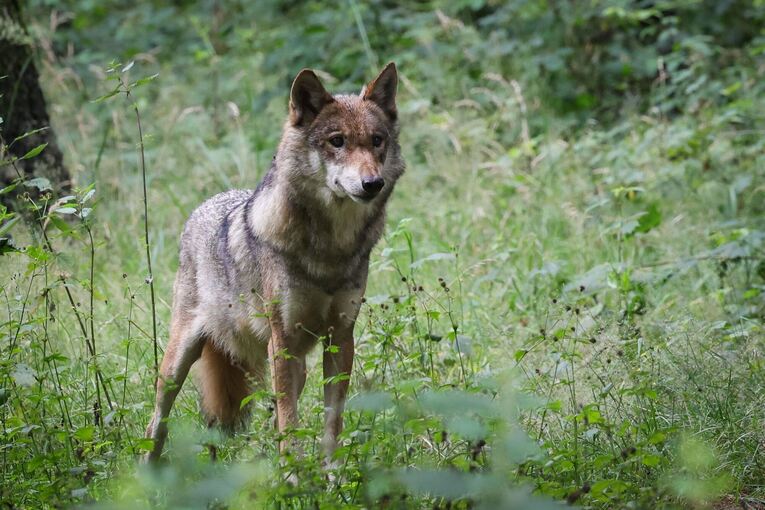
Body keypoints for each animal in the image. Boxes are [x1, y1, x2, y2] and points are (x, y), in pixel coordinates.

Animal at [144, 63, 404, 463]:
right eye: (337, 141)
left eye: (376, 140)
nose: (371, 183)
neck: (330, 249)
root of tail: (204, 204)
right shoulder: (281, 343)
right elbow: (289, 426)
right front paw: (294, 475)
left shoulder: (340, 339)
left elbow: (331, 425)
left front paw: (330, 475)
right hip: (178, 364)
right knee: (155, 424)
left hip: (295, 366)